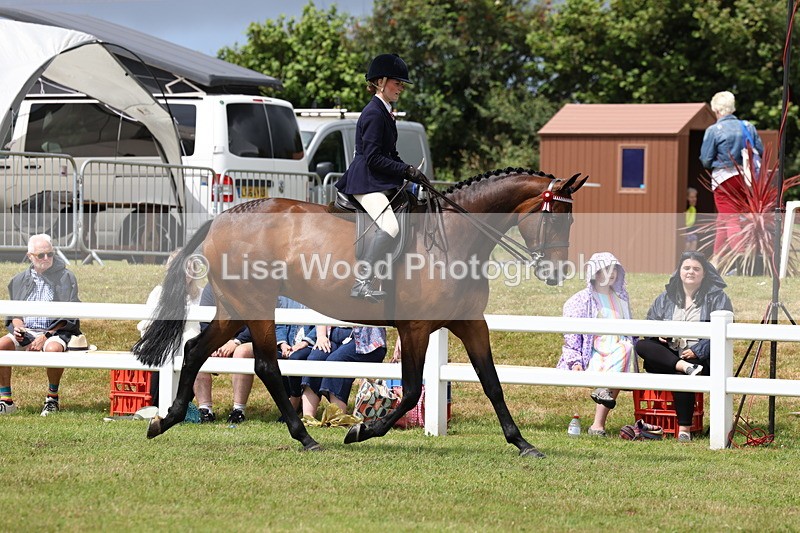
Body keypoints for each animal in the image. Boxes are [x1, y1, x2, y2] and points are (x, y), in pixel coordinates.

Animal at [133, 168, 587, 458]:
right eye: (554, 219)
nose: (555, 273)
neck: (456, 239)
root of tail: (224, 217)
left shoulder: (471, 324)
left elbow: (492, 384)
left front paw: (522, 443)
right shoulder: (416, 328)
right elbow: (410, 392)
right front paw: (360, 430)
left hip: (233, 308)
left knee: (194, 350)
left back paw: (166, 420)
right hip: (256, 306)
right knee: (265, 366)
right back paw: (306, 438)